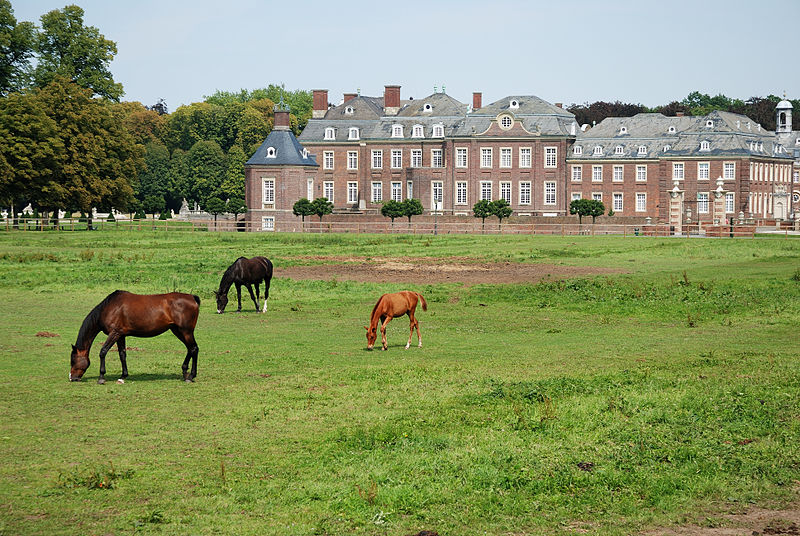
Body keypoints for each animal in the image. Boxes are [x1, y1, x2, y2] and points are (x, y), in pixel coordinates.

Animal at [69, 292, 200, 384]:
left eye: (73, 360)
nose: (72, 378)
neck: (110, 307)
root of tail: (192, 298)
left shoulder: (114, 333)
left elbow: (103, 352)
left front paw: (101, 377)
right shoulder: (120, 335)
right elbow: (122, 354)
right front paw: (123, 376)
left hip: (186, 331)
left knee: (194, 349)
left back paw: (191, 376)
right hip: (178, 331)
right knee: (190, 349)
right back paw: (185, 373)